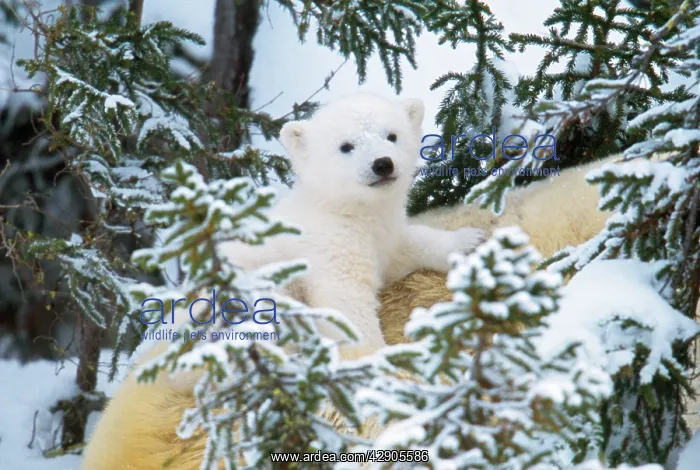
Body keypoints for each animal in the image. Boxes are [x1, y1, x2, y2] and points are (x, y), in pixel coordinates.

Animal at [81, 96, 624, 469]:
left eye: (391, 137)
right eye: (346, 146)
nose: (382, 164)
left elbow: (411, 246)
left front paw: (467, 244)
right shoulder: (329, 251)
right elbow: (348, 308)